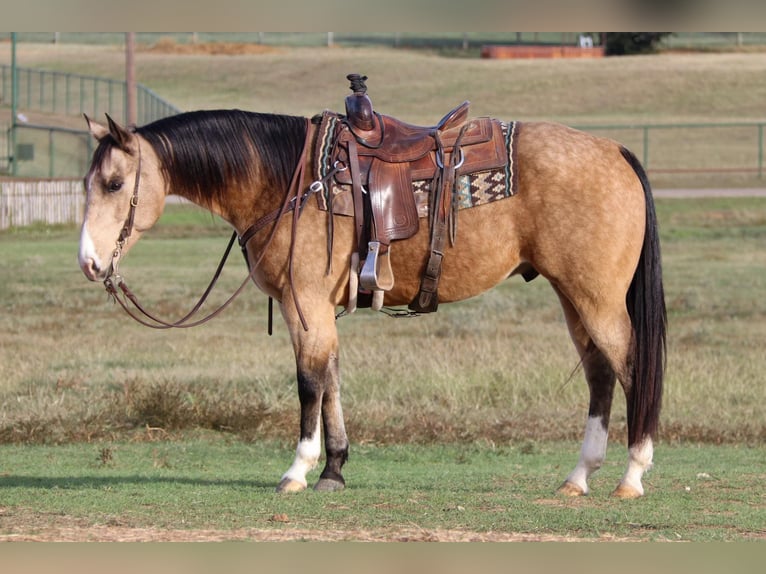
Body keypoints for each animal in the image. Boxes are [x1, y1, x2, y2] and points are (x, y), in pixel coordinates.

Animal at [76, 76, 664, 500]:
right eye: (88, 183)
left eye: (114, 184)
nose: (88, 262)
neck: (288, 180)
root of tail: (614, 150)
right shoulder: (316, 310)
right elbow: (331, 380)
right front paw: (334, 470)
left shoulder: (305, 304)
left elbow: (309, 383)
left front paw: (298, 470)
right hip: (573, 296)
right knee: (599, 375)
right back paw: (579, 477)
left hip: (597, 299)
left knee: (632, 369)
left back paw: (632, 476)